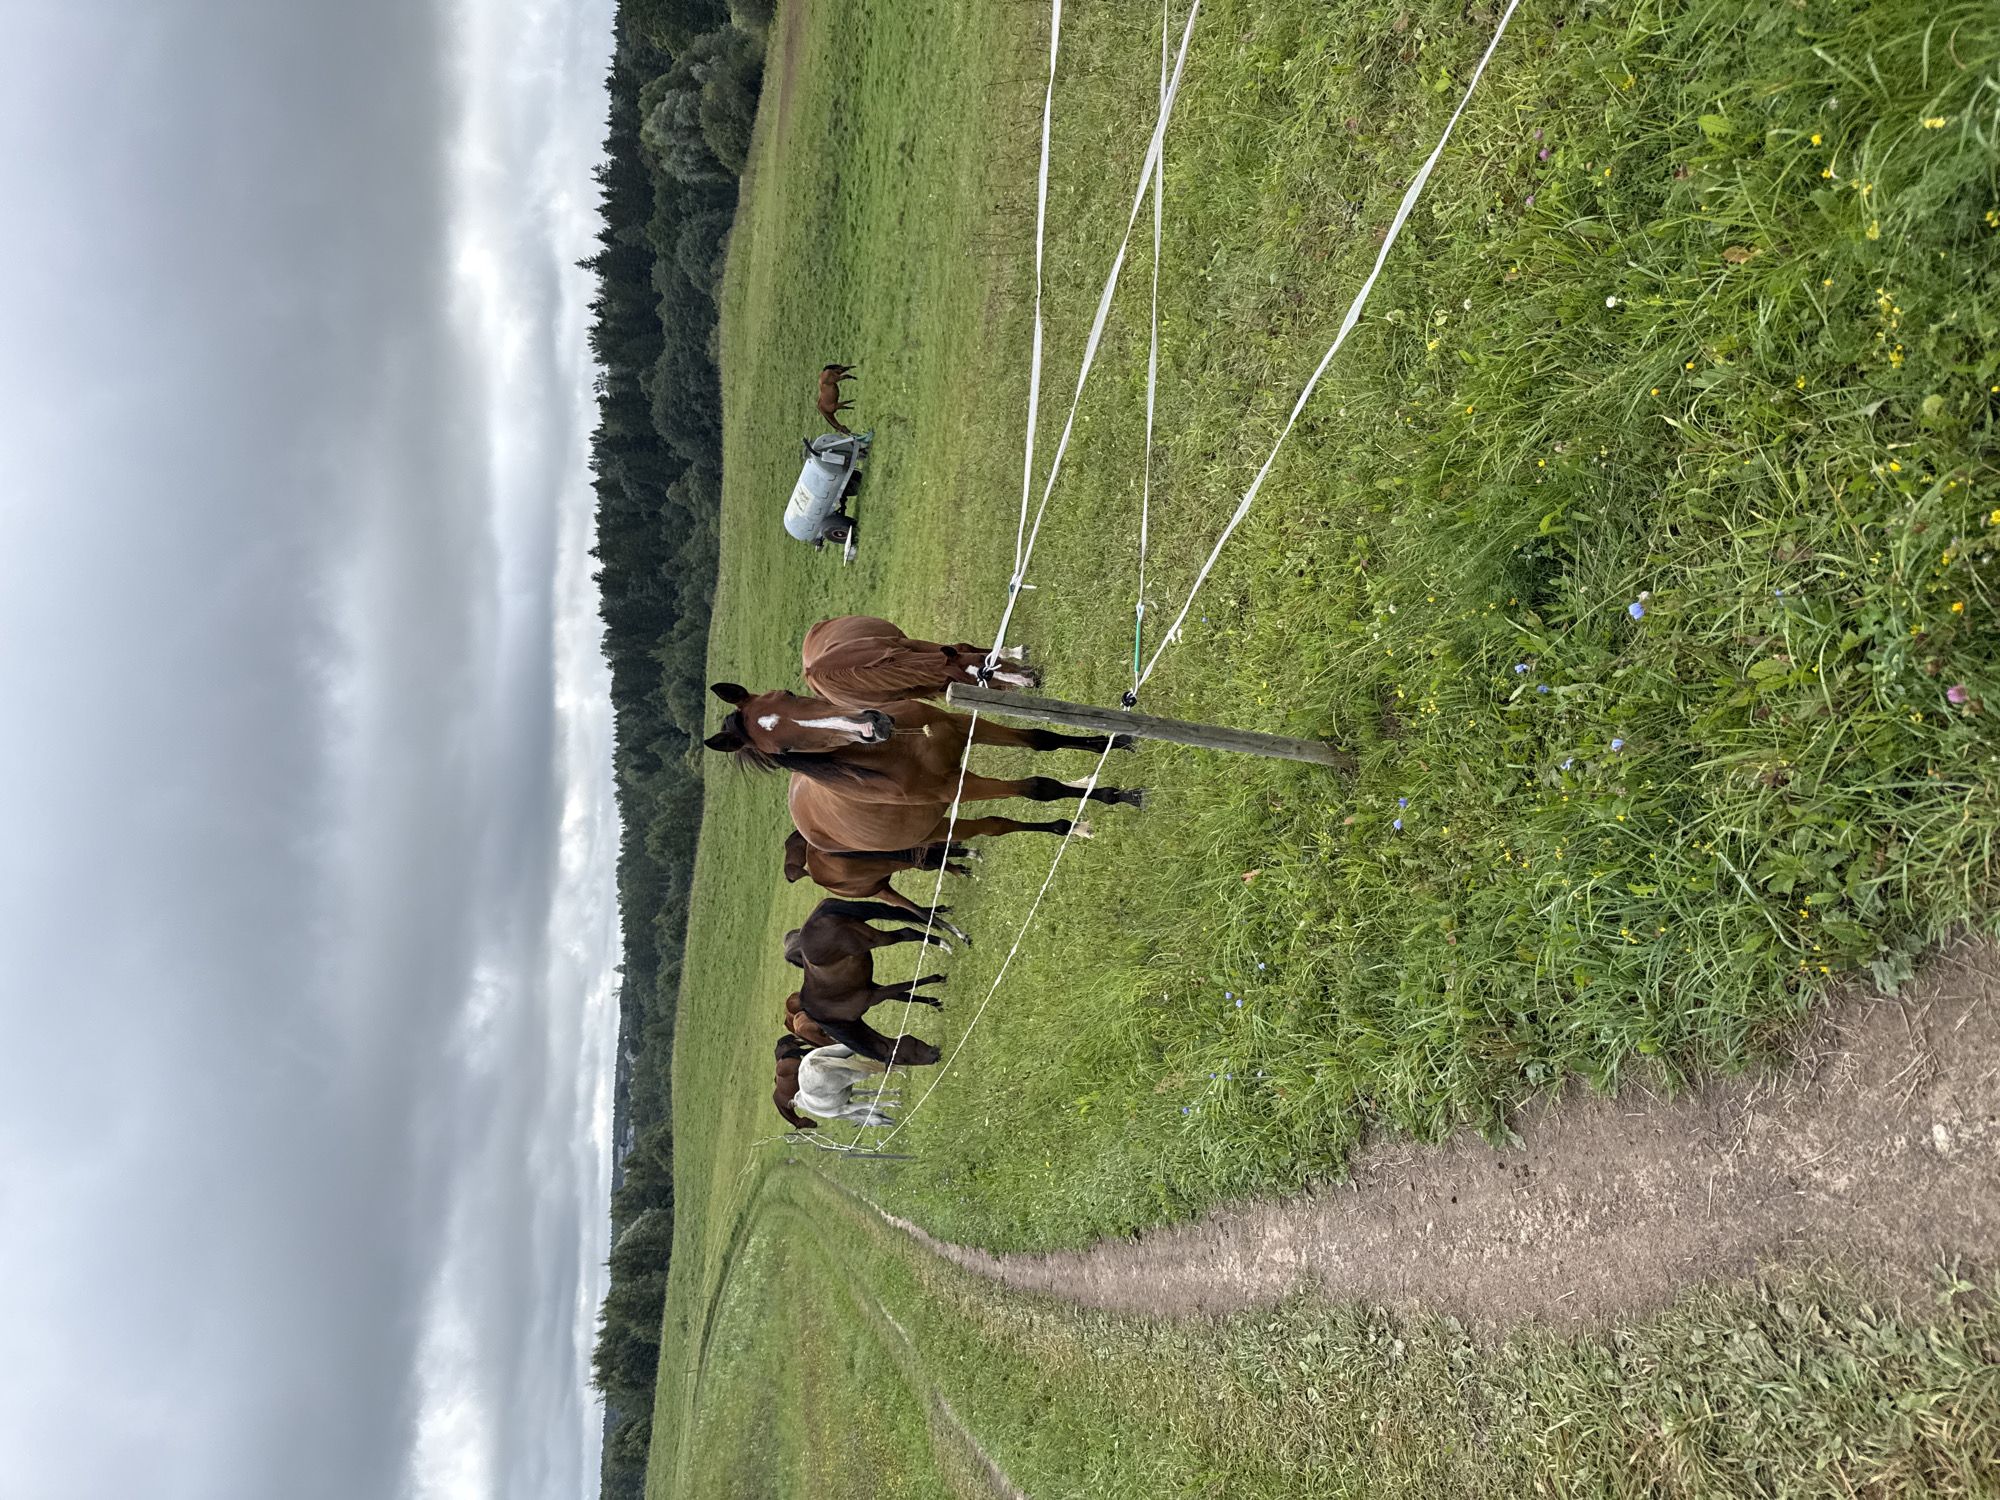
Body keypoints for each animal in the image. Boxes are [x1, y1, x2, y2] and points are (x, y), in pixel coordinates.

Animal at [703, 687, 1143, 859]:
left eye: (790, 694)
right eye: (785, 751)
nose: (874, 723)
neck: (902, 748)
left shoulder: (965, 726)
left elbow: (1042, 739)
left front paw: (1115, 743)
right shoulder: (959, 787)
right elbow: (1038, 787)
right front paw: (1119, 795)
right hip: (939, 827)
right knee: (994, 826)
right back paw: (1070, 826)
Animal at [801, 615, 1038, 709]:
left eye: (982, 660)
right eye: (973, 685)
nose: (1028, 680)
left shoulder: (907, 645)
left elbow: (963, 646)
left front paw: (1016, 653)